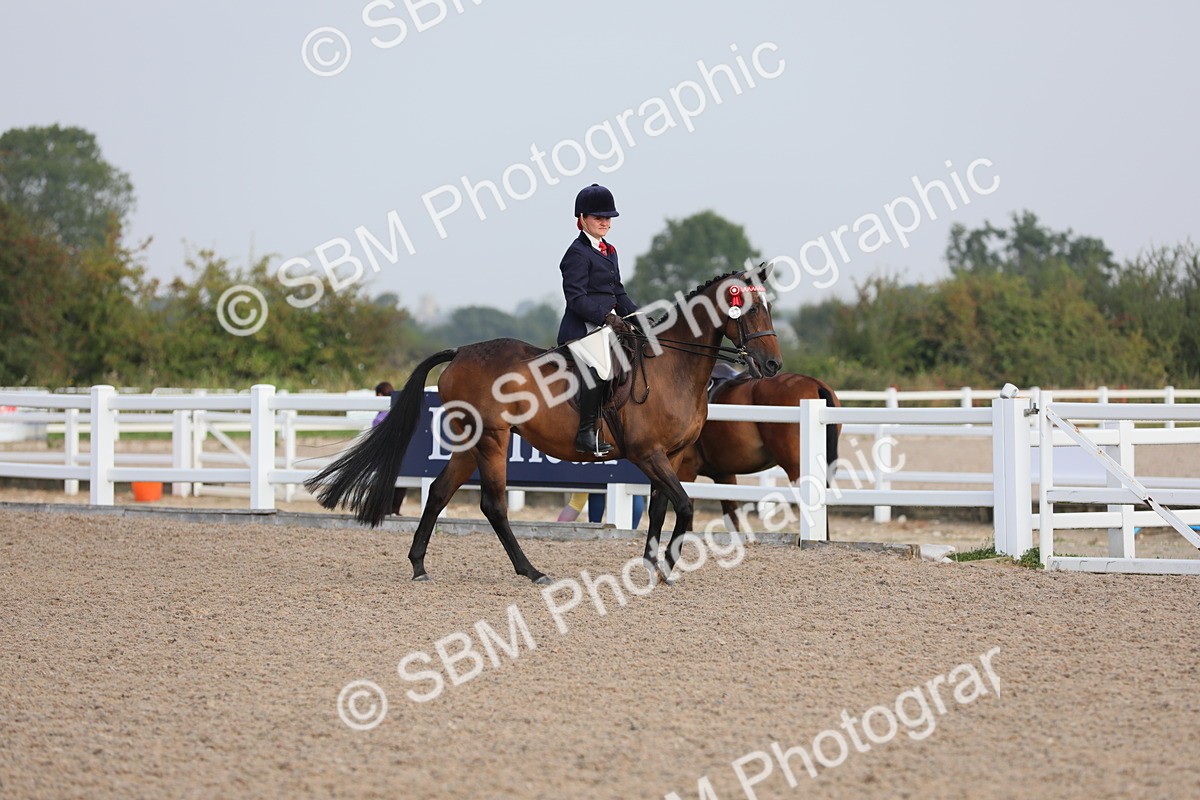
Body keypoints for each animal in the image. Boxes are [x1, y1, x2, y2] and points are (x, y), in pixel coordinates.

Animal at [304, 266, 784, 585]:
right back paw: (531, 571)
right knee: (493, 505)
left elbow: (662, 509)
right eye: (745, 308)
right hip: (493, 440)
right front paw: (665, 566)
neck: (673, 367)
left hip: (470, 443)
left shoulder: (672, 455)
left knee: (439, 492)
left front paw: (654, 566)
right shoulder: (648, 454)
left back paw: (420, 565)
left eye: (768, 307)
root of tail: (460, 352)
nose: (772, 366)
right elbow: (683, 507)